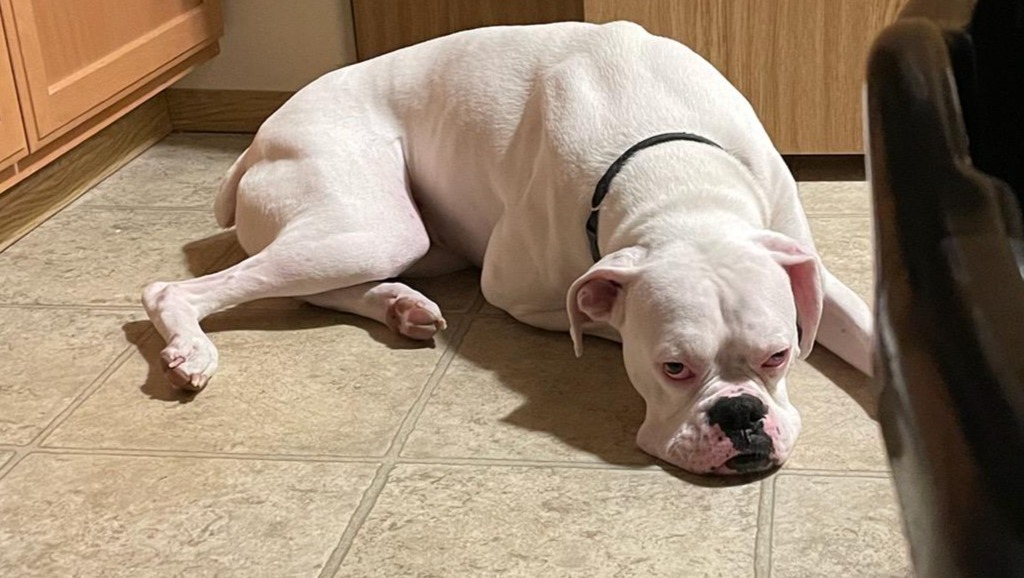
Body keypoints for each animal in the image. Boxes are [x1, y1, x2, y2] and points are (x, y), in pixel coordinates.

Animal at [143, 21, 873, 475]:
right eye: (672, 368)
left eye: (778, 355)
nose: (742, 414)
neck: (680, 187)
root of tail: (258, 140)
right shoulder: (522, 294)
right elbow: (598, 315)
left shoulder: (806, 266)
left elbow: (865, 327)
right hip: (370, 224)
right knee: (180, 288)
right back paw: (190, 349)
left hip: (389, 240)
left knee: (309, 288)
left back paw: (401, 306)